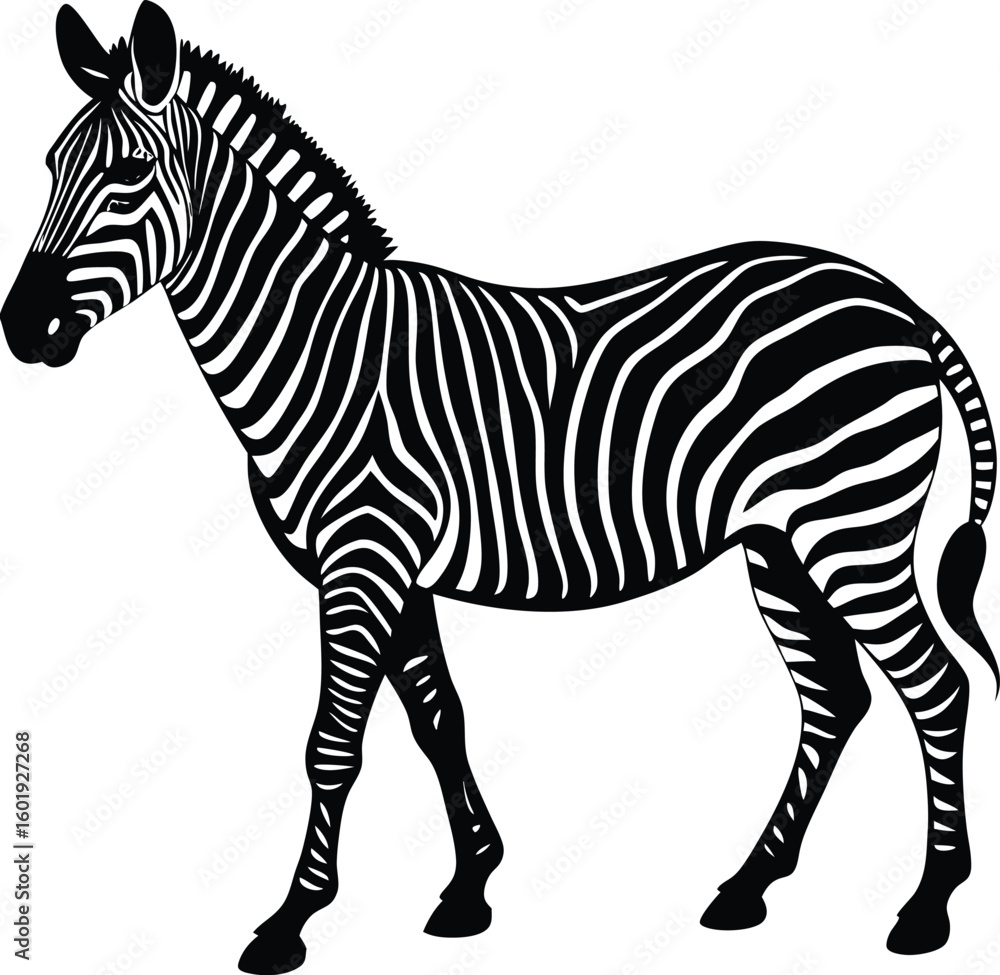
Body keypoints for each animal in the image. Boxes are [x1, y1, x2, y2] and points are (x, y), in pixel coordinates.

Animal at [1, 2, 996, 970]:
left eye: (129, 173)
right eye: (48, 167)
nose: (21, 327)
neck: (321, 348)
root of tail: (897, 298)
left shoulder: (362, 561)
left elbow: (334, 744)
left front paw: (289, 923)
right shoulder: (392, 571)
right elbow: (439, 719)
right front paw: (469, 887)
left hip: (853, 526)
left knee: (935, 685)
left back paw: (926, 908)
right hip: (779, 541)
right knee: (836, 697)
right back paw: (748, 886)